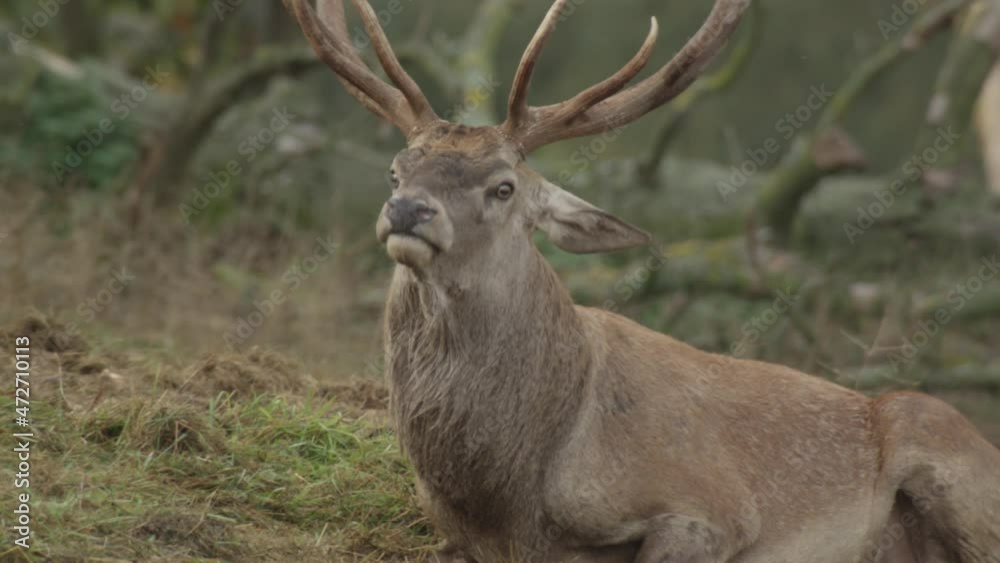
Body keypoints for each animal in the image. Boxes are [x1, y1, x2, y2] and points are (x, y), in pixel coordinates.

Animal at [284, 0, 1000, 561]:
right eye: (397, 169)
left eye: (504, 186)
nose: (408, 210)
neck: (510, 493)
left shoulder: (714, 509)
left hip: (942, 448)